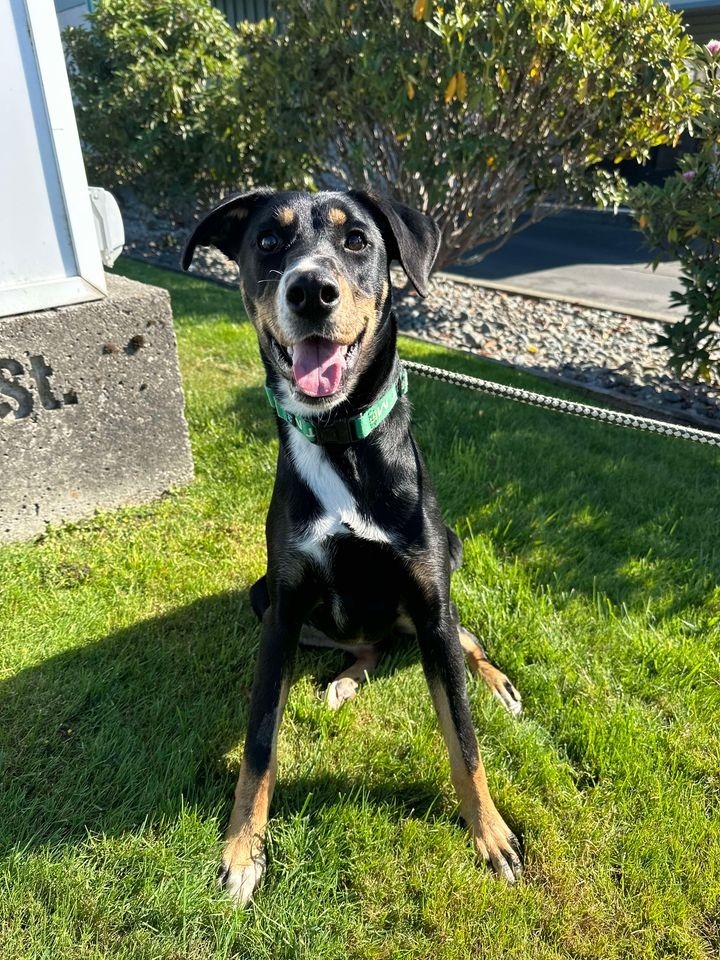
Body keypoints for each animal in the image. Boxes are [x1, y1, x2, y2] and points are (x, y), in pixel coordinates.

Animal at [183, 189, 524, 908]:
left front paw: (491, 835)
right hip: (264, 599)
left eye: (358, 241)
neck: (340, 437)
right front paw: (242, 850)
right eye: (268, 242)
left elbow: (466, 742)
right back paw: (345, 679)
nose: (312, 290)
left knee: (466, 637)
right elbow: (259, 744)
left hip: (436, 586)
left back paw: (500, 685)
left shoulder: (429, 600)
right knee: (367, 646)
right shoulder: (283, 610)